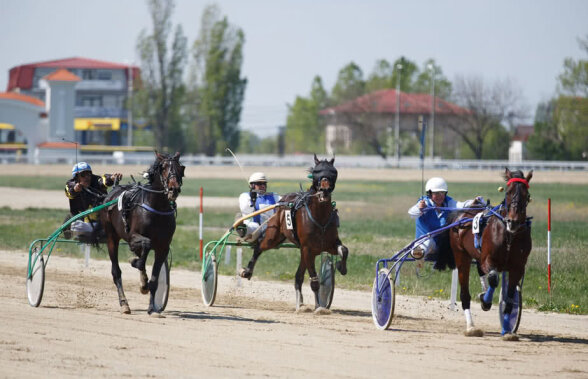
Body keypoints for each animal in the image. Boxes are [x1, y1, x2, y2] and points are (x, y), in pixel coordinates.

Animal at [99, 151, 184, 314]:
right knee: (116, 272)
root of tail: (114, 189)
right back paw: (124, 303)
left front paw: (152, 308)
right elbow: (146, 243)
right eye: (163, 167)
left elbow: (154, 279)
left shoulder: (163, 246)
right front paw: (134, 262)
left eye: (180, 167)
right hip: (111, 237)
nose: (173, 189)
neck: (157, 208)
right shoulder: (133, 236)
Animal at [240, 154, 350, 312]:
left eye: (333, 172)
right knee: (259, 247)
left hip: (304, 250)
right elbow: (314, 281)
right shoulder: (308, 248)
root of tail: (282, 200)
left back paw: (300, 304)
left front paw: (342, 266)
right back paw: (248, 270)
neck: (320, 217)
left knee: (298, 276)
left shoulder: (328, 244)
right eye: (316, 171)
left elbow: (344, 250)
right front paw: (318, 307)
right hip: (274, 236)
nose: (324, 190)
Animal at [450, 168, 532, 340]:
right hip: (461, 256)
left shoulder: (517, 267)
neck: (509, 235)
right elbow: (493, 279)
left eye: (526, 194)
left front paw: (507, 330)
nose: (513, 221)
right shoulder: (488, 259)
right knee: (465, 294)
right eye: (508, 192)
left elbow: (509, 298)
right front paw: (485, 301)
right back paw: (471, 327)